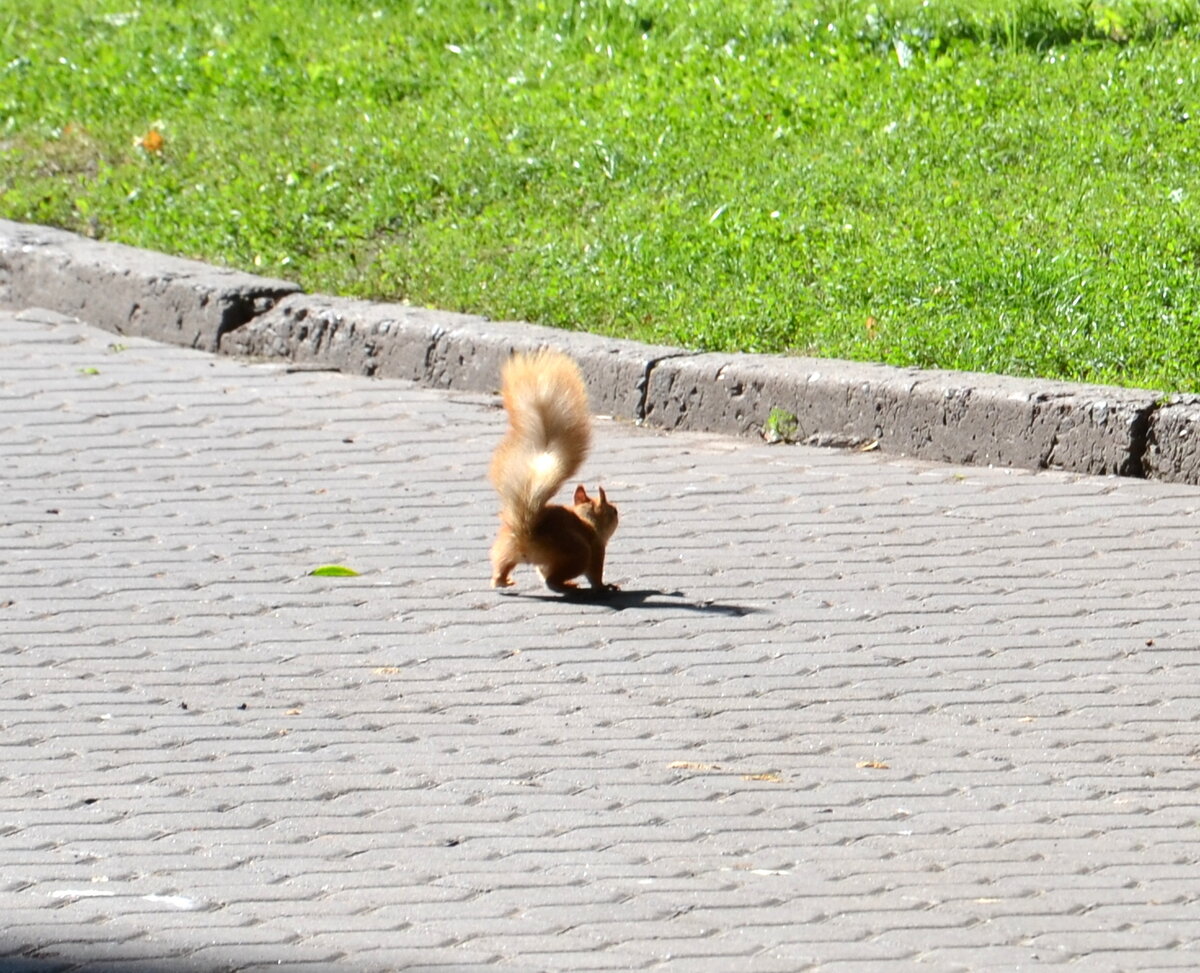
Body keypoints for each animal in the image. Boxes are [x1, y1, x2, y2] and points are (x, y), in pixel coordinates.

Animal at [487, 347, 619, 592]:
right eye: (613, 511)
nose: (618, 514)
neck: (587, 520)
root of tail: (527, 533)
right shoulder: (597, 549)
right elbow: (596, 577)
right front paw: (605, 587)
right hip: (577, 554)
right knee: (552, 580)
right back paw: (568, 584)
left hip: (506, 548)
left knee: (502, 568)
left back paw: (503, 580)